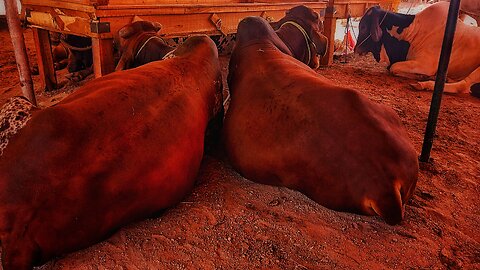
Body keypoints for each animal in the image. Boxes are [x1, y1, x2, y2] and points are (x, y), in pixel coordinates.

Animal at [352, 2, 480, 94]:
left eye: (363, 27)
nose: (356, 49)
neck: (413, 32)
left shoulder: (426, 65)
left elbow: (393, 67)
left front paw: (422, 76)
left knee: (463, 86)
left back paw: (423, 84)